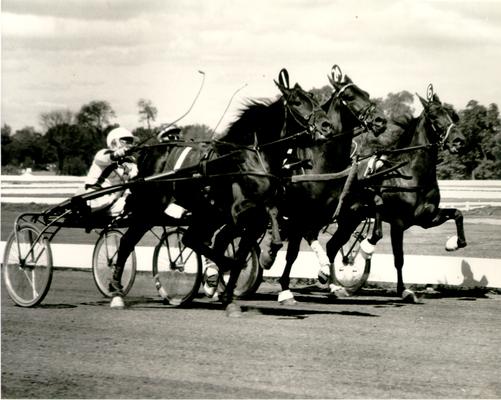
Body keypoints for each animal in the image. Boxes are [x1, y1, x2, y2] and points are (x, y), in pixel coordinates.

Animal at [108, 69, 332, 318]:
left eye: (314, 98)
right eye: (296, 102)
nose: (326, 125)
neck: (253, 157)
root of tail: (149, 154)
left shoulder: (251, 220)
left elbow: (247, 245)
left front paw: (230, 296)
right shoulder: (240, 211)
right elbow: (263, 224)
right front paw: (264, 259)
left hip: (203, 213)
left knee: (190, 239)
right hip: (149, 208)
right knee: (127, 242)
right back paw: (116, 293)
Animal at [266, 65, 386, 304]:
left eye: (366, 93)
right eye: (349, 96)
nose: (380, 121)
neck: (322, 164)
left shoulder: (346, 210)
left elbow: (334, 245)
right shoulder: (299, 216)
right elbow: (293, 253)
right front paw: (285, 289)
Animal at [324, 85, 464, 304]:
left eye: (453, 115)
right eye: (434, 117)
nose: (459, 141)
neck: (411, 174)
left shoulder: (427, 218)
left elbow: (458, 213)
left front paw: (455, 243)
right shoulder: (398, 222)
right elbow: (398, 257)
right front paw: (403, 290)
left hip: (351, 219)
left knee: (332, 247)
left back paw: (333, 284)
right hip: (348, 218)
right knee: (332, 246)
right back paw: (333, 283)